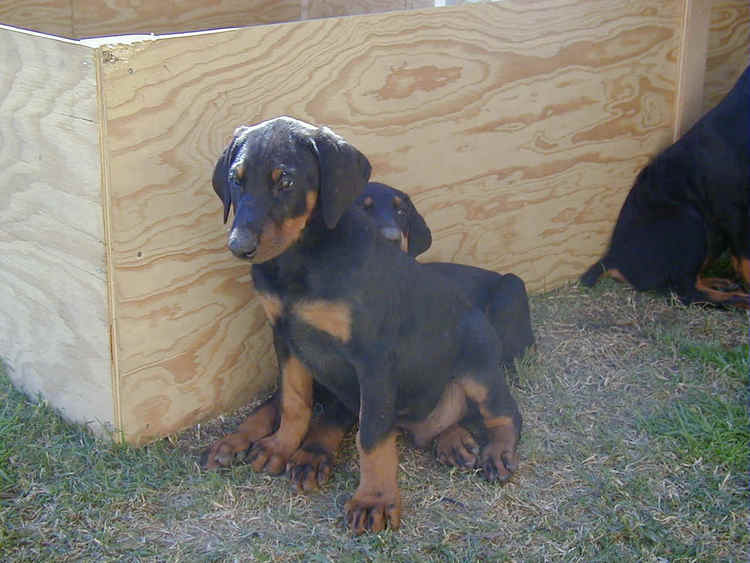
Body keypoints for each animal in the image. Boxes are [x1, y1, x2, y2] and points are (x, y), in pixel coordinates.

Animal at [206, 118, 524, 532]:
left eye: (286, 180)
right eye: (236, 179)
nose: (239, 246)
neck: (302, 260)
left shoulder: (372, 358)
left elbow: (371, 435)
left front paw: (375, 500)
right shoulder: (287, 340)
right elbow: (293, 401)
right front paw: (281, 446)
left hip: (476, 364)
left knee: (505, 411)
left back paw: (497, 451)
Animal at [580, 67, 750, 310]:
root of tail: (614, 258)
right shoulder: (733, 207)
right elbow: (746, 259)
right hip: (690, 221)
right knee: (684, 292)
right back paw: (739, 299)